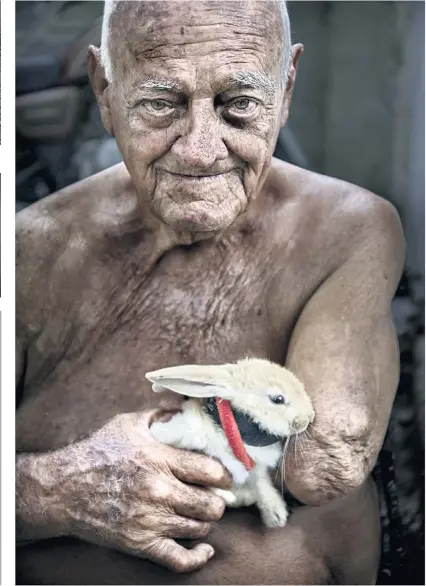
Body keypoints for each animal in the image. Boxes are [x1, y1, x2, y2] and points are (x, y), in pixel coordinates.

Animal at [145, 354, 314, 528]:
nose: (310, 417)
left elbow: (262, 485)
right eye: (278, 399)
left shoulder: (257, 470)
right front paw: (228, 496)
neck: (235, 434)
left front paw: (276, 516)